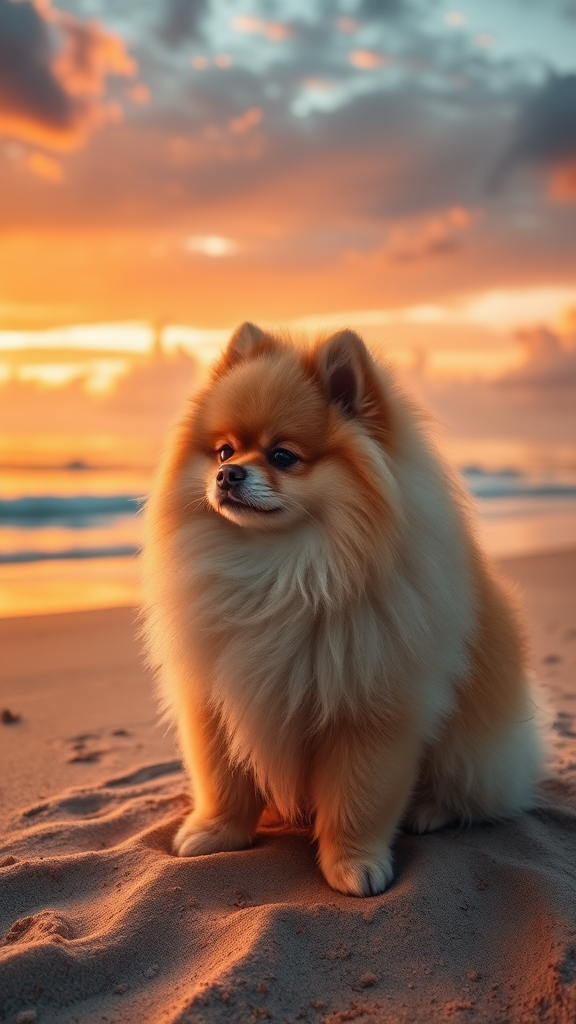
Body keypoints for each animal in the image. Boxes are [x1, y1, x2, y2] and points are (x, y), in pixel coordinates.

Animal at [141, 321, 541, 897]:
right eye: (223, 451)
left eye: (283, 456)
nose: (229, 475)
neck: (281, 571)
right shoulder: (215, 698)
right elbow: (223, 782)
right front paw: (215, 833)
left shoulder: (371, 712)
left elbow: (358, 801)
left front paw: (353, 864)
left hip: (471, 748)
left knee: (468, 794)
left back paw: (429, 809)